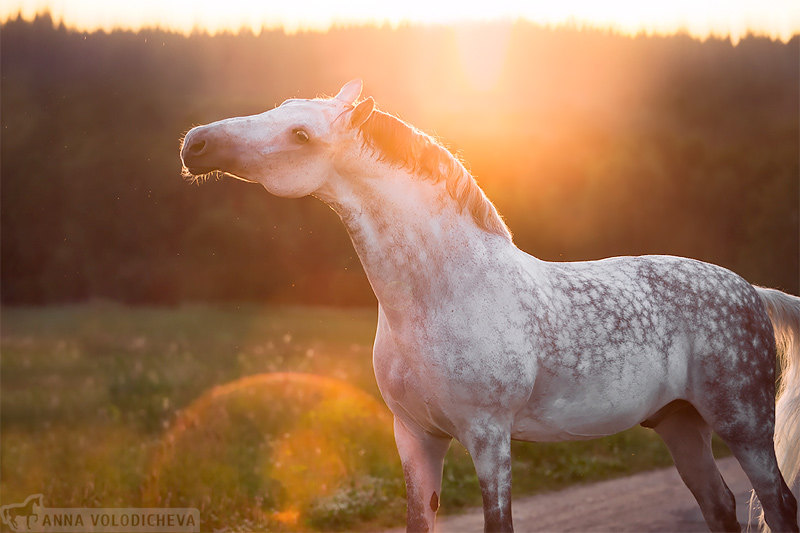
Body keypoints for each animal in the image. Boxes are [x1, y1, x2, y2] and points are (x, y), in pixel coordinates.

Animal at [181, 80, 800, 532]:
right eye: (283, 108)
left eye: (301, 133)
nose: (196, 144)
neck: (443, 294)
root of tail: (750, 289)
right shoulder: (415, 436)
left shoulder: (488, 437)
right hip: (680, 425)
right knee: (720, 506)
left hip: (744, 425)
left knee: (778, 504)